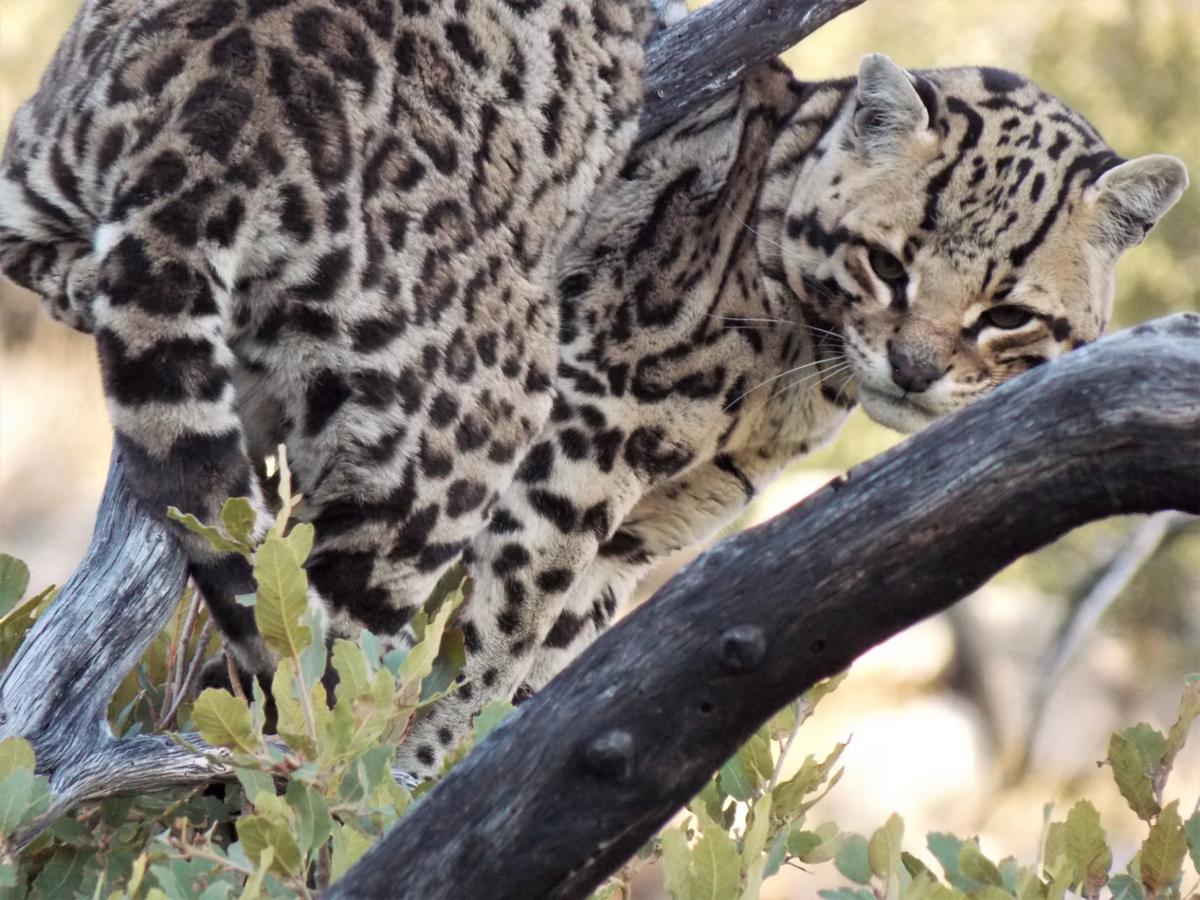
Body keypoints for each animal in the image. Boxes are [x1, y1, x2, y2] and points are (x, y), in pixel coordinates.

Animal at [0, 0, 1180, 787]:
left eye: (1006, 315)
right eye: (889, 265)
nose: (918, 369)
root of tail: (212, 115)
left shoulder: (640, 535)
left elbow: (552, 671)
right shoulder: (576, 448)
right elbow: (481, 653)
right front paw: (431, 783)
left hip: (41, 165)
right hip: (482, 406)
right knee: (330, 662)